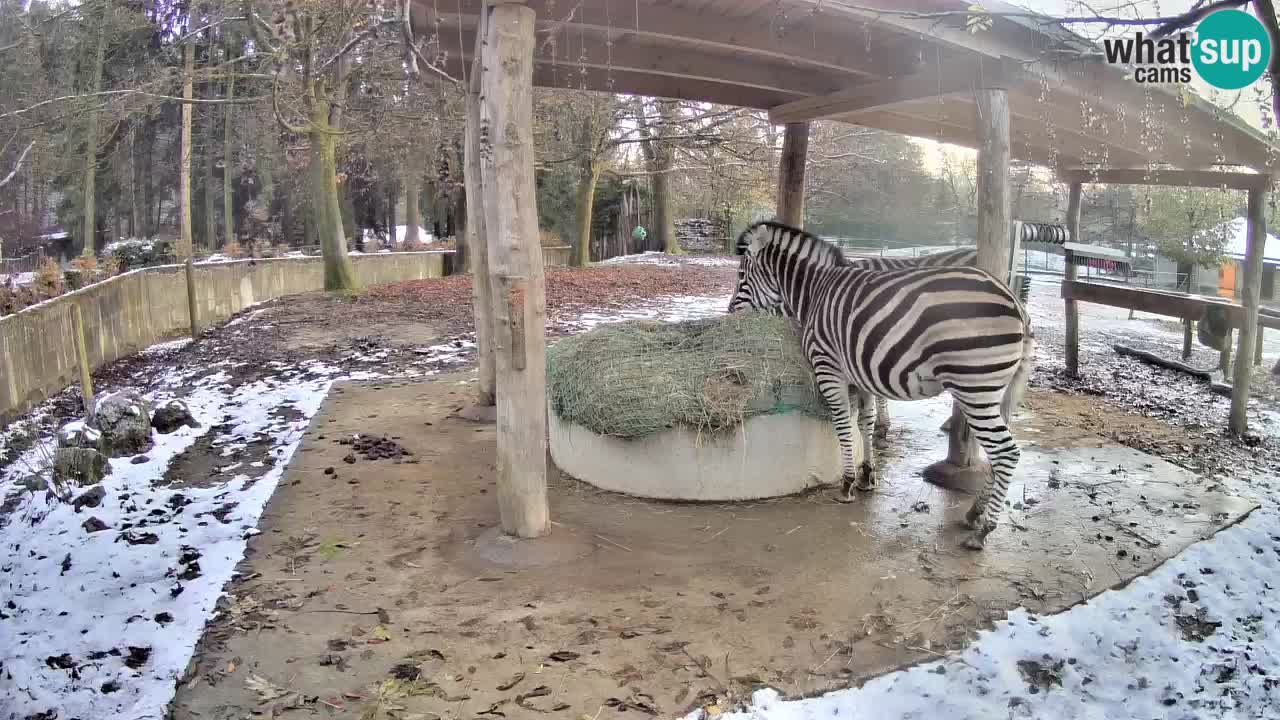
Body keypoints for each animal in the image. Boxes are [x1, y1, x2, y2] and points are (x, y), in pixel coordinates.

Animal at [727, 221, 1034, 545]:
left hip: (975, 387)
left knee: (1006, 452)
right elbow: (865, 422)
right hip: (992, 391)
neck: (815, 290)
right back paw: (975, 512)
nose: (730, 314)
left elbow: (843, 425)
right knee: (997, 453)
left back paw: (984, 529)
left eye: (741, 276)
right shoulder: (860, 373)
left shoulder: (828, 367)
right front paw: (867, 475)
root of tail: (1016, 303)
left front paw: (847, 483)